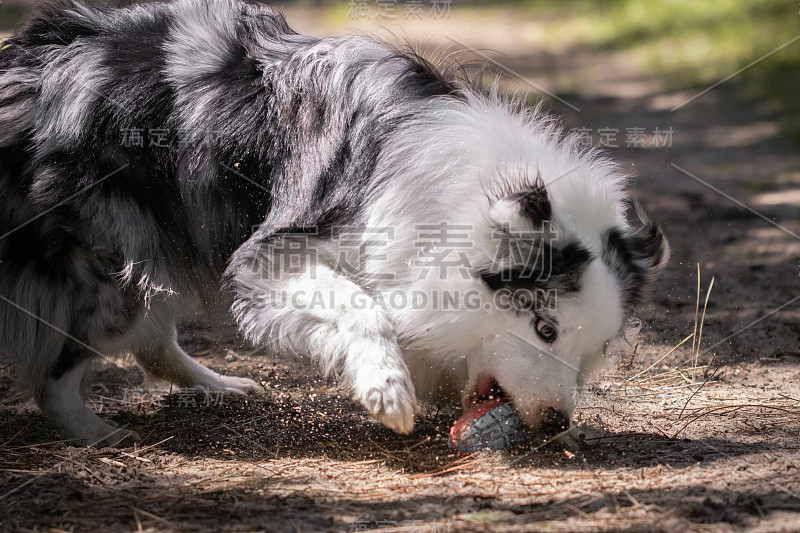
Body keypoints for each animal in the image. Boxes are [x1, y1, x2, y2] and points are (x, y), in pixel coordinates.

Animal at [0, 0, 668, 442]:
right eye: (545, 329)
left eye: (597, 347)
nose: (556, 424)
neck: (449, 199)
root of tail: (33, 61)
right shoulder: (273, 253)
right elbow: (361, 307)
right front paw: (387, 391)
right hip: (110, 260)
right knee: (55, 379)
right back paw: (105, 439)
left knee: (153, 343)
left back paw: (221, 387)